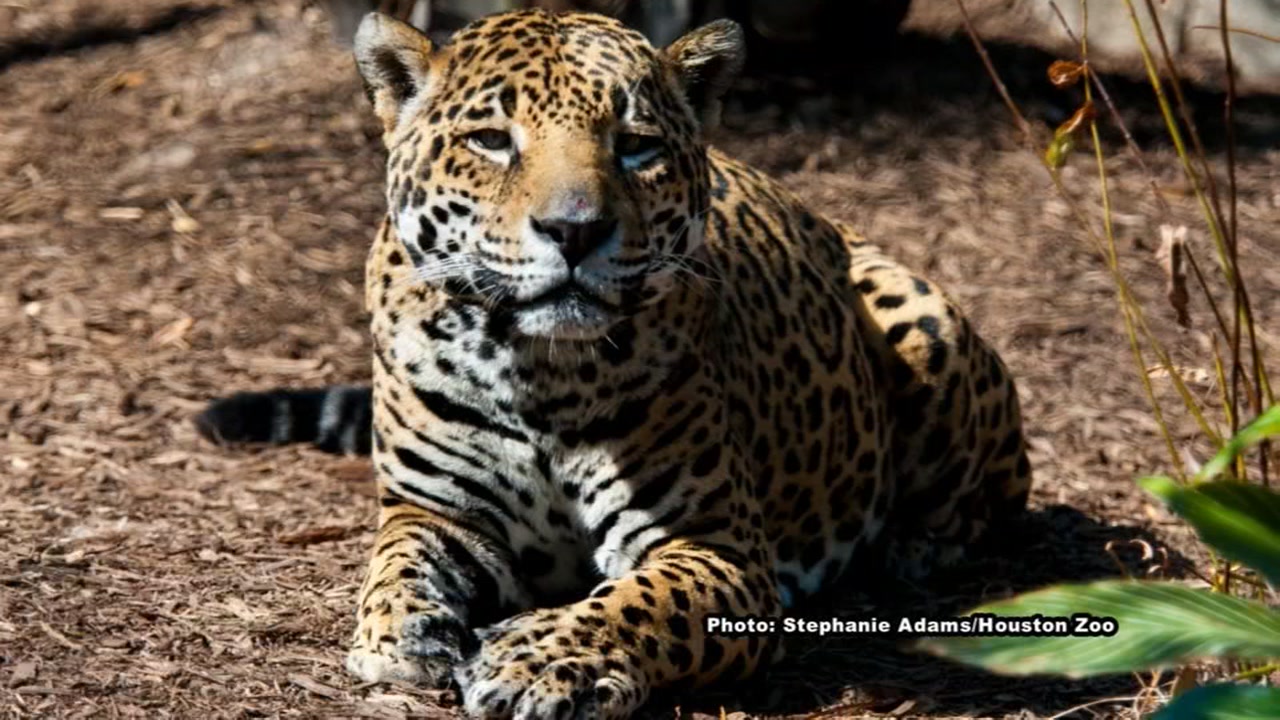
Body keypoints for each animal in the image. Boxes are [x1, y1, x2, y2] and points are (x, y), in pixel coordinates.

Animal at [195, 8, 1033, 719]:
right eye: (492, 140)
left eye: (636, 145)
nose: (574, 230)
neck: (538, 371)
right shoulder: (436, 510)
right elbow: (397, 560)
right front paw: (398, 634)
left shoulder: (719, 548)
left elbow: (641, 603)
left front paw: (536, 658)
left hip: (924, 320)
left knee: (999, 494)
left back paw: (913, 544)